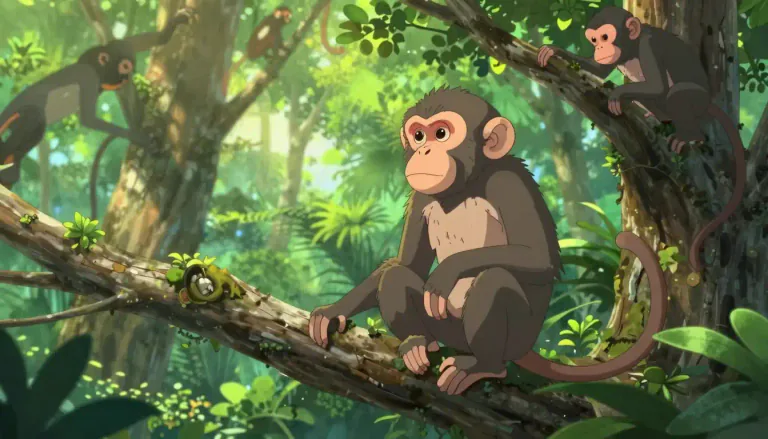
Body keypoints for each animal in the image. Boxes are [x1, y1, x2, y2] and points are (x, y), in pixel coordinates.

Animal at [0, 8, 195, 189]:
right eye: (125, 67)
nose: (127, 77)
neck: (96, 69)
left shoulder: (118, 45)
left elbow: (155, 40)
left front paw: (172, 25)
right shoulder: (88, 76)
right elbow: (89, 119)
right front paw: (140, 138)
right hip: (20, 114)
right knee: (35, 118)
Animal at [308, 87, 668, 396]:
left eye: (441, 134)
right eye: (419, 134)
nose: (424, 150)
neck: (464, 186)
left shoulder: (508, 183)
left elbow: (538, 257)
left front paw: (448, 272)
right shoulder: (421, 196)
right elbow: (405, 264)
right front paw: (333, 312)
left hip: (516, 337)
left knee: (493, 281)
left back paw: (484, 366)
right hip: (448, 331)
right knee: (397, 279)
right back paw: (417, 344)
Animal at [537, 6, 746, 277]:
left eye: (605, 37)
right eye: (593, 40)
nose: (599, 47)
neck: (632, 48)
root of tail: (709, 102)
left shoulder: (649, 46)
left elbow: (655, 84)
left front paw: (617, 94)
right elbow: (600, 70)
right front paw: (554, 51)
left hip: (696, 101)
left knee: (676, 94)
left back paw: (689, 135)